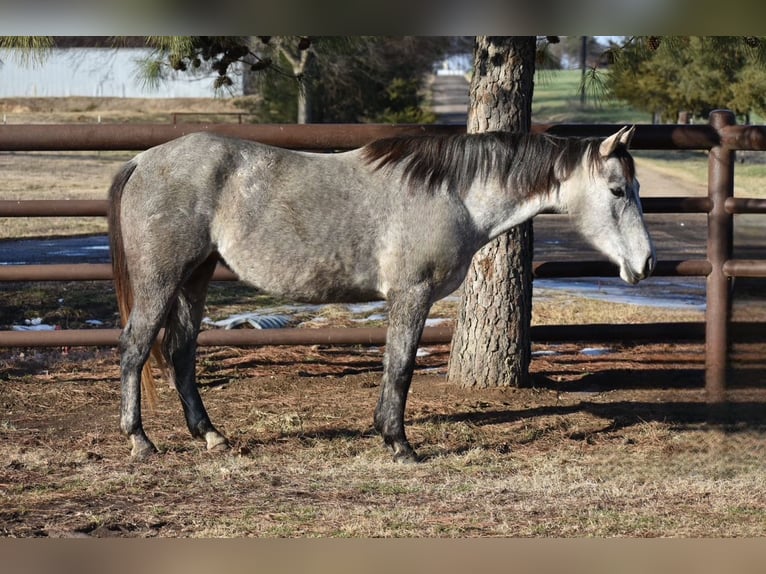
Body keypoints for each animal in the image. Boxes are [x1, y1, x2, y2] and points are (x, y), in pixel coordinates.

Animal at [108, 125, 655, 463]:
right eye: (617, 191)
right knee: (136, 348)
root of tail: (143, 160)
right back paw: (140, 441)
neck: (452, 194)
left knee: (180, 352)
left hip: (195, 278)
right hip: (161, 280)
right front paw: (399, 444)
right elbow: (401, 367)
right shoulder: (411, 295)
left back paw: (211, 436)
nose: (647, 263)